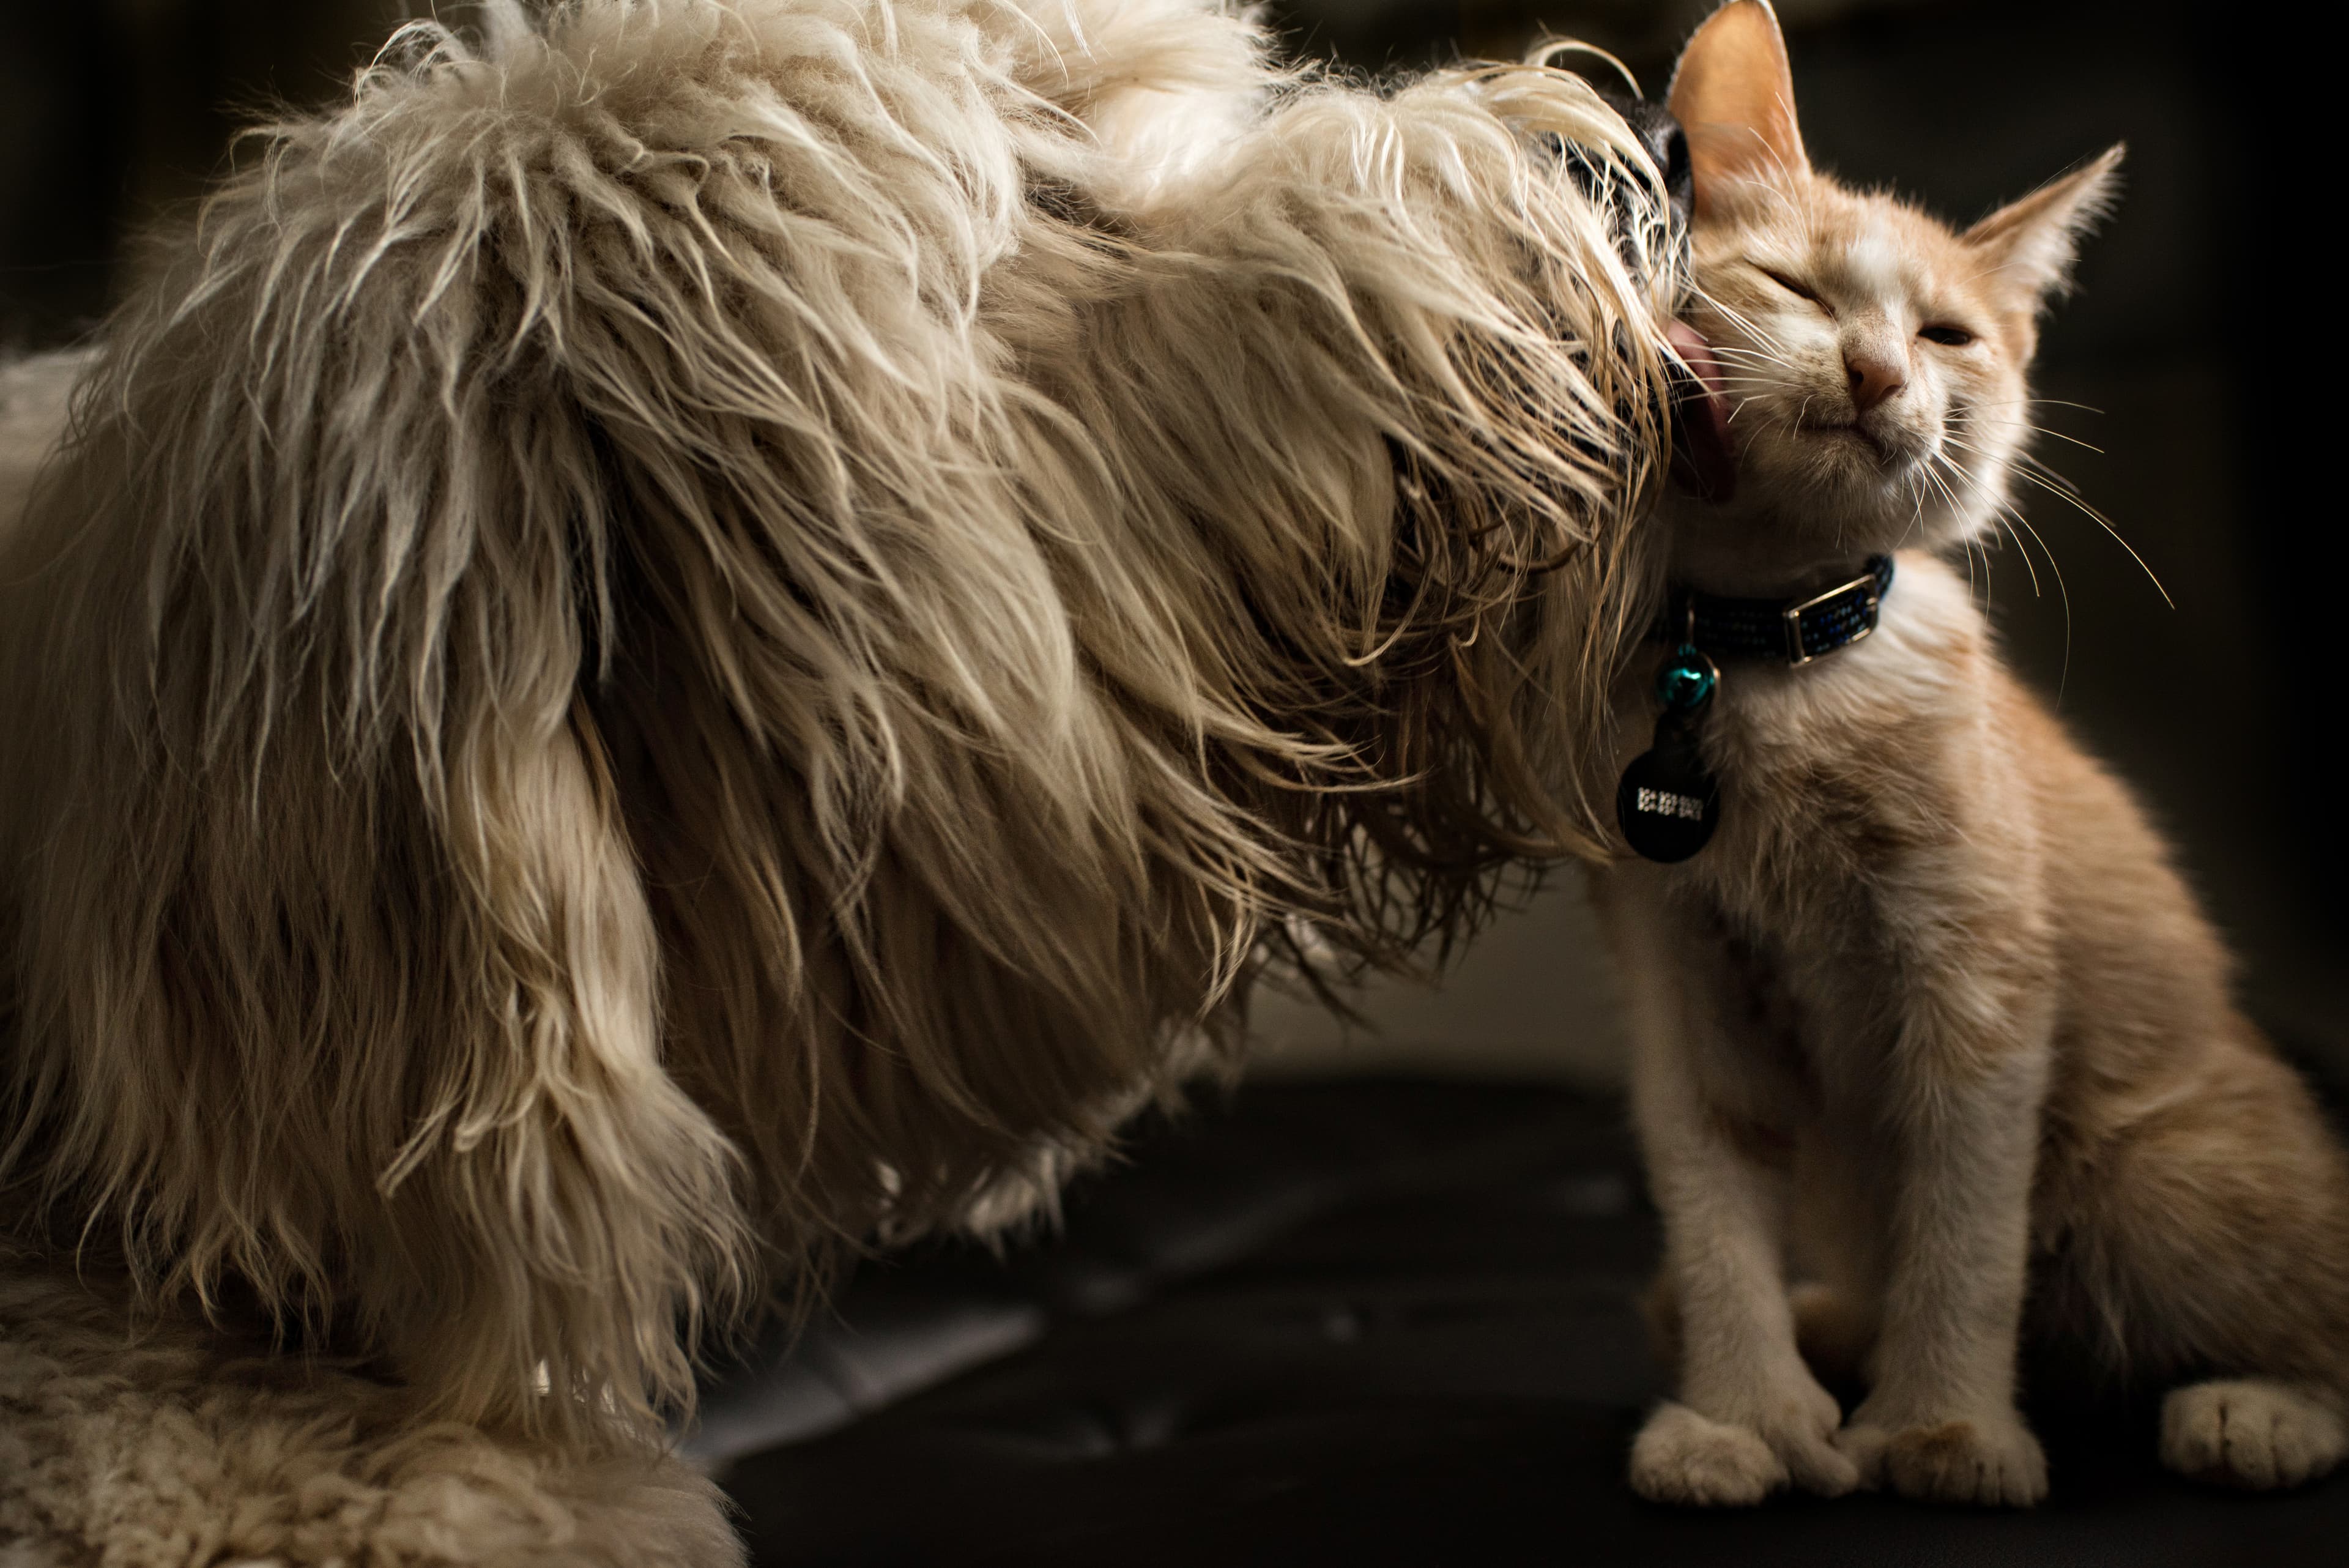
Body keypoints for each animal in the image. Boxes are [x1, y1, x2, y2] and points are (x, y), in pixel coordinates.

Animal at [1597, 0, 2349, 1504]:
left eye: (1948, 335)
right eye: (1798, 288)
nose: (1880, 371)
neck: (1777, 658)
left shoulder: (1982, 981)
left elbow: (1963, 1220)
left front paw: (1942, 1426)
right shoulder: (1686, 977)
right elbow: (1714, 1204)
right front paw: (1741, 1413)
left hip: (2155, 1180)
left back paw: (2257, 1410)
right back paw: (1832, 1329)